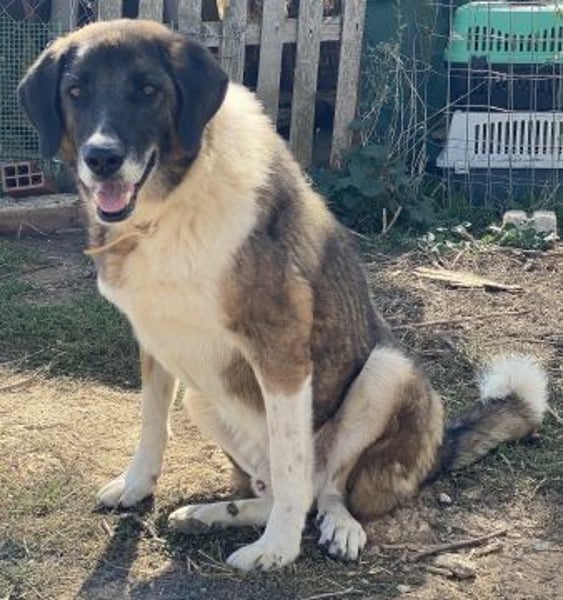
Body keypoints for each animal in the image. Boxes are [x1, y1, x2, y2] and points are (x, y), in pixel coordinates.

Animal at [18, 19, 548, 571]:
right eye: (75, 92)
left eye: (148, 91)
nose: (101, 159)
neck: (172, 205)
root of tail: (438, 449)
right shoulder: (156, 340)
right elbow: (151, 423)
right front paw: (137, 485)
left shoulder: (282, 350)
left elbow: (295, 468)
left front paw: (277, 549)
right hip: (203, 399)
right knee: (276, 487)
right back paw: (210, 515)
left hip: (387, 372)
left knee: (325, 488)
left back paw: (336, 527)